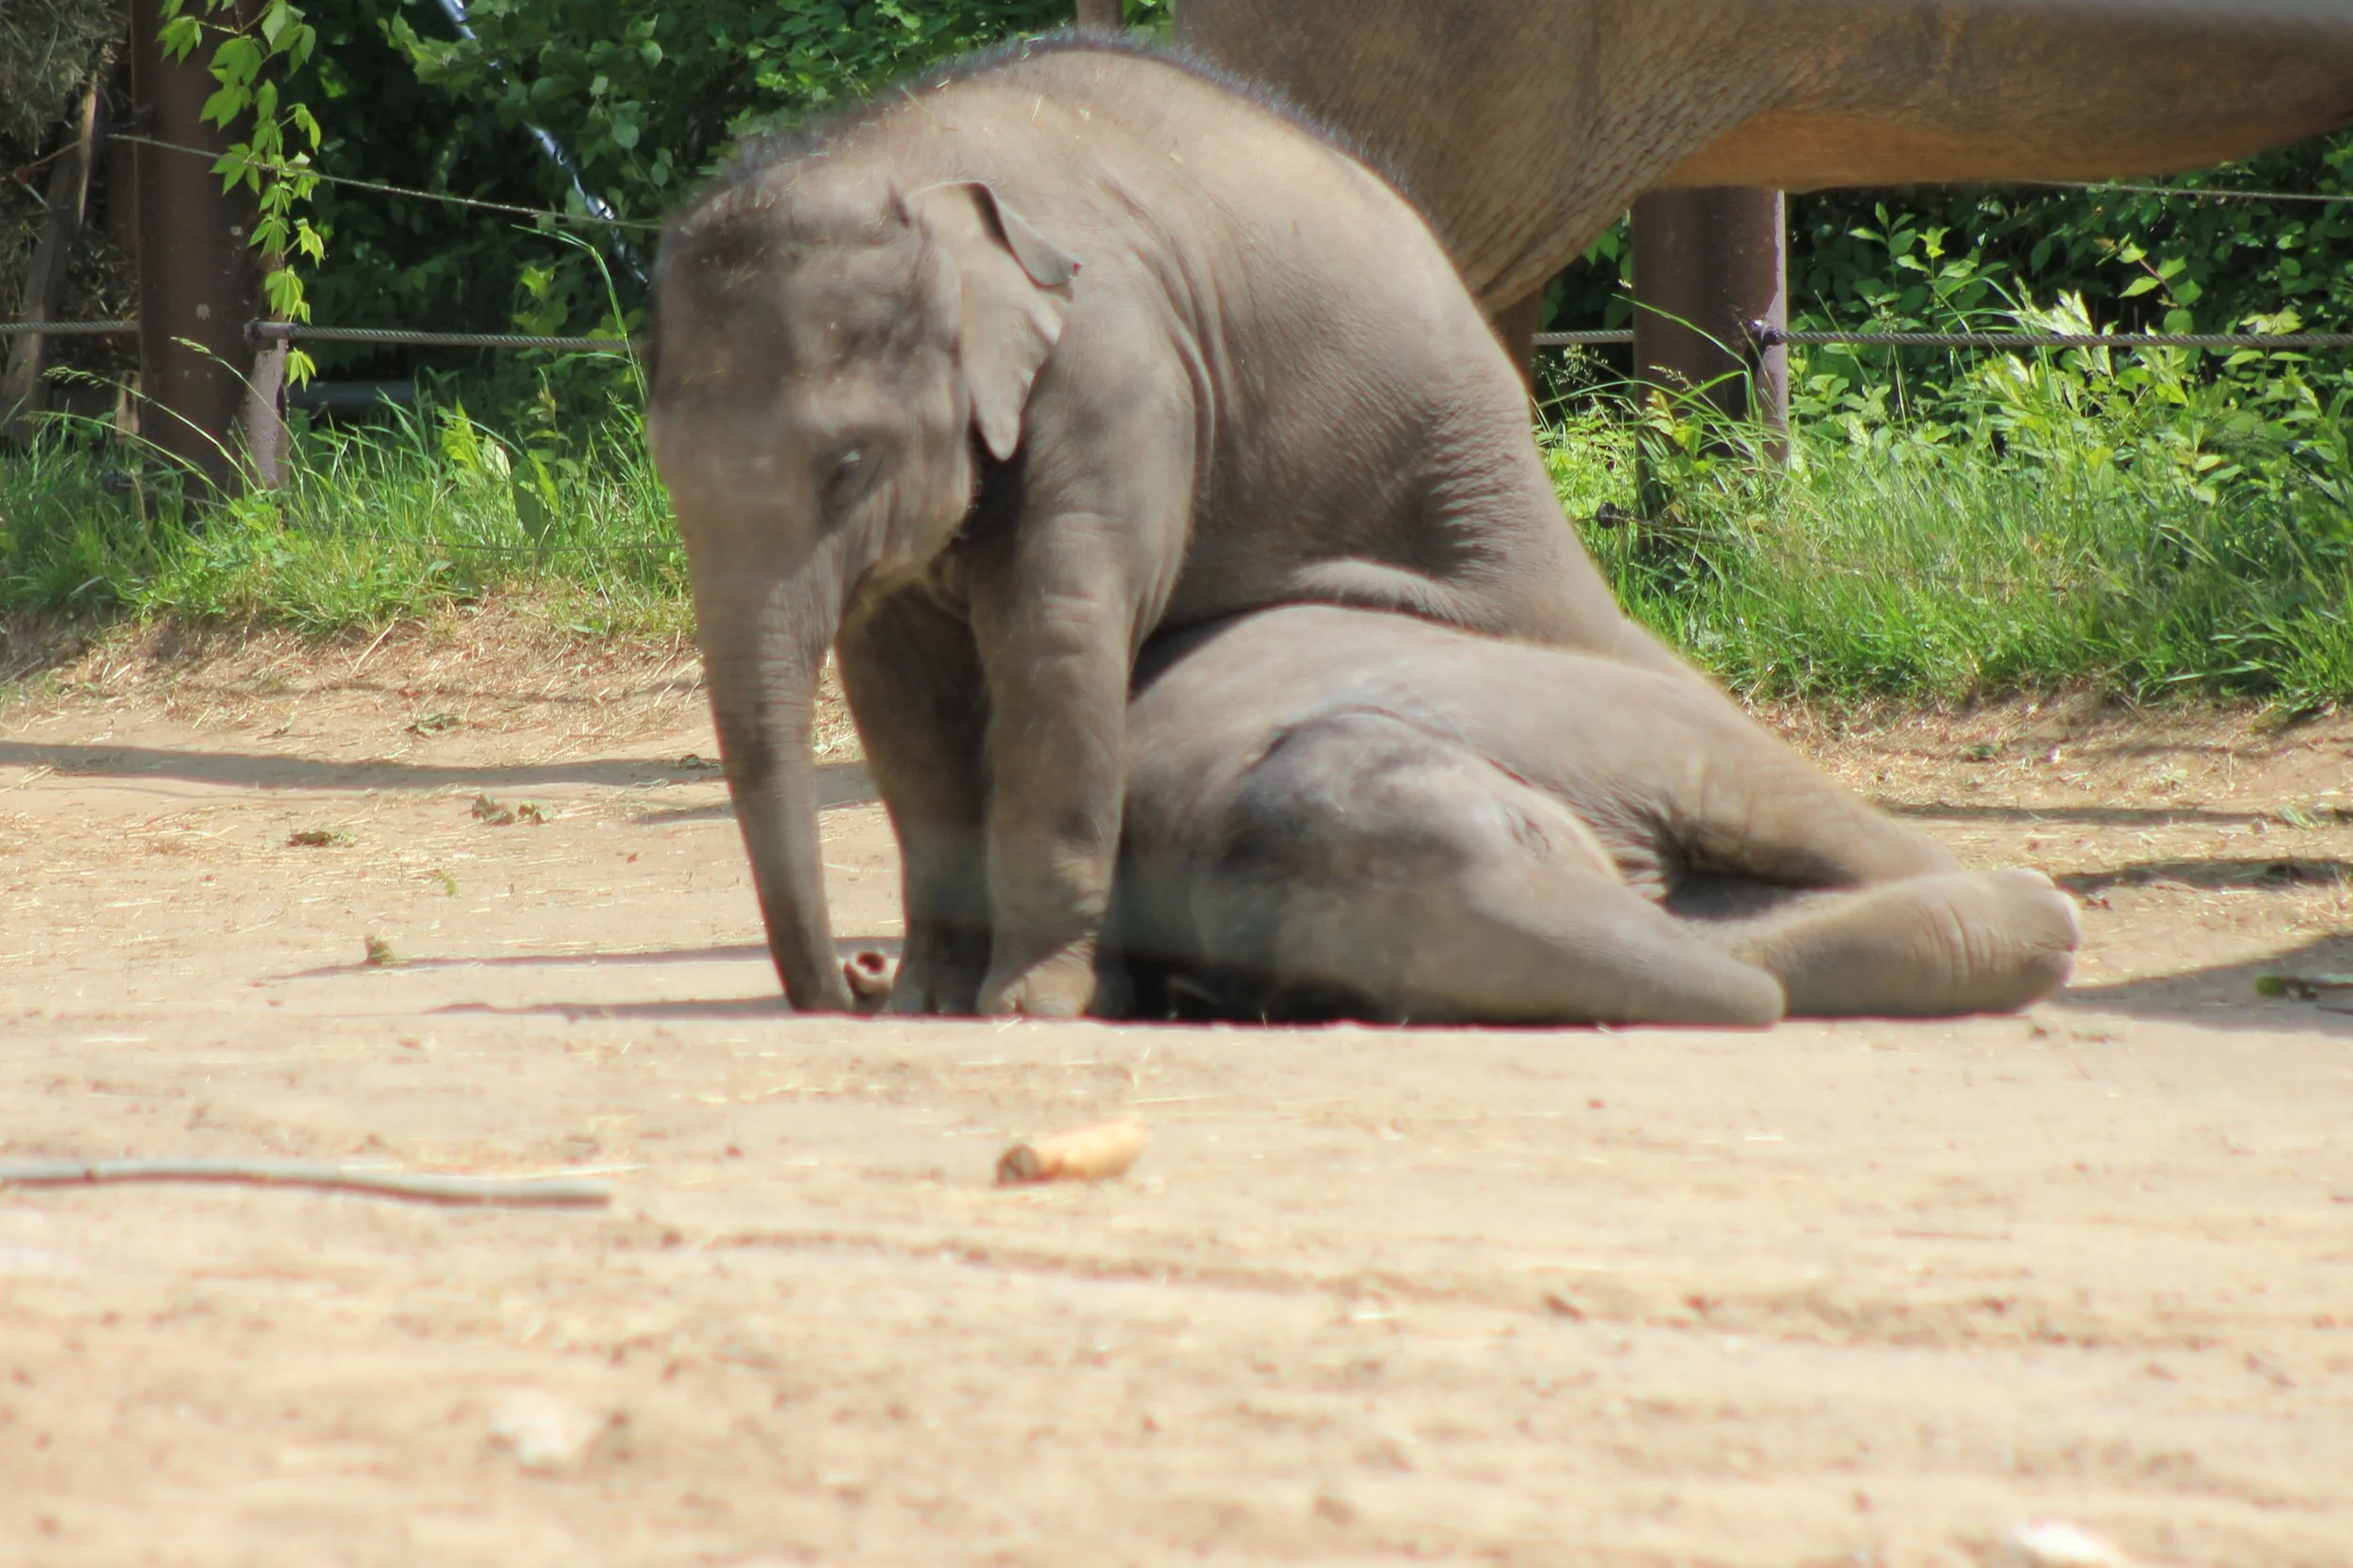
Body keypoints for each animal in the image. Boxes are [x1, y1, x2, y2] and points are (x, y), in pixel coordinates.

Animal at [647, 35, 1715, 1017]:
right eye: (668, 476)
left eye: (847, 465)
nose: (850, 986)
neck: (896, 161)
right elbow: (899, 684)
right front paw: (928, 1003)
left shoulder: (1121, 370)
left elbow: (1057, 630)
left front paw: (1031, 1008)